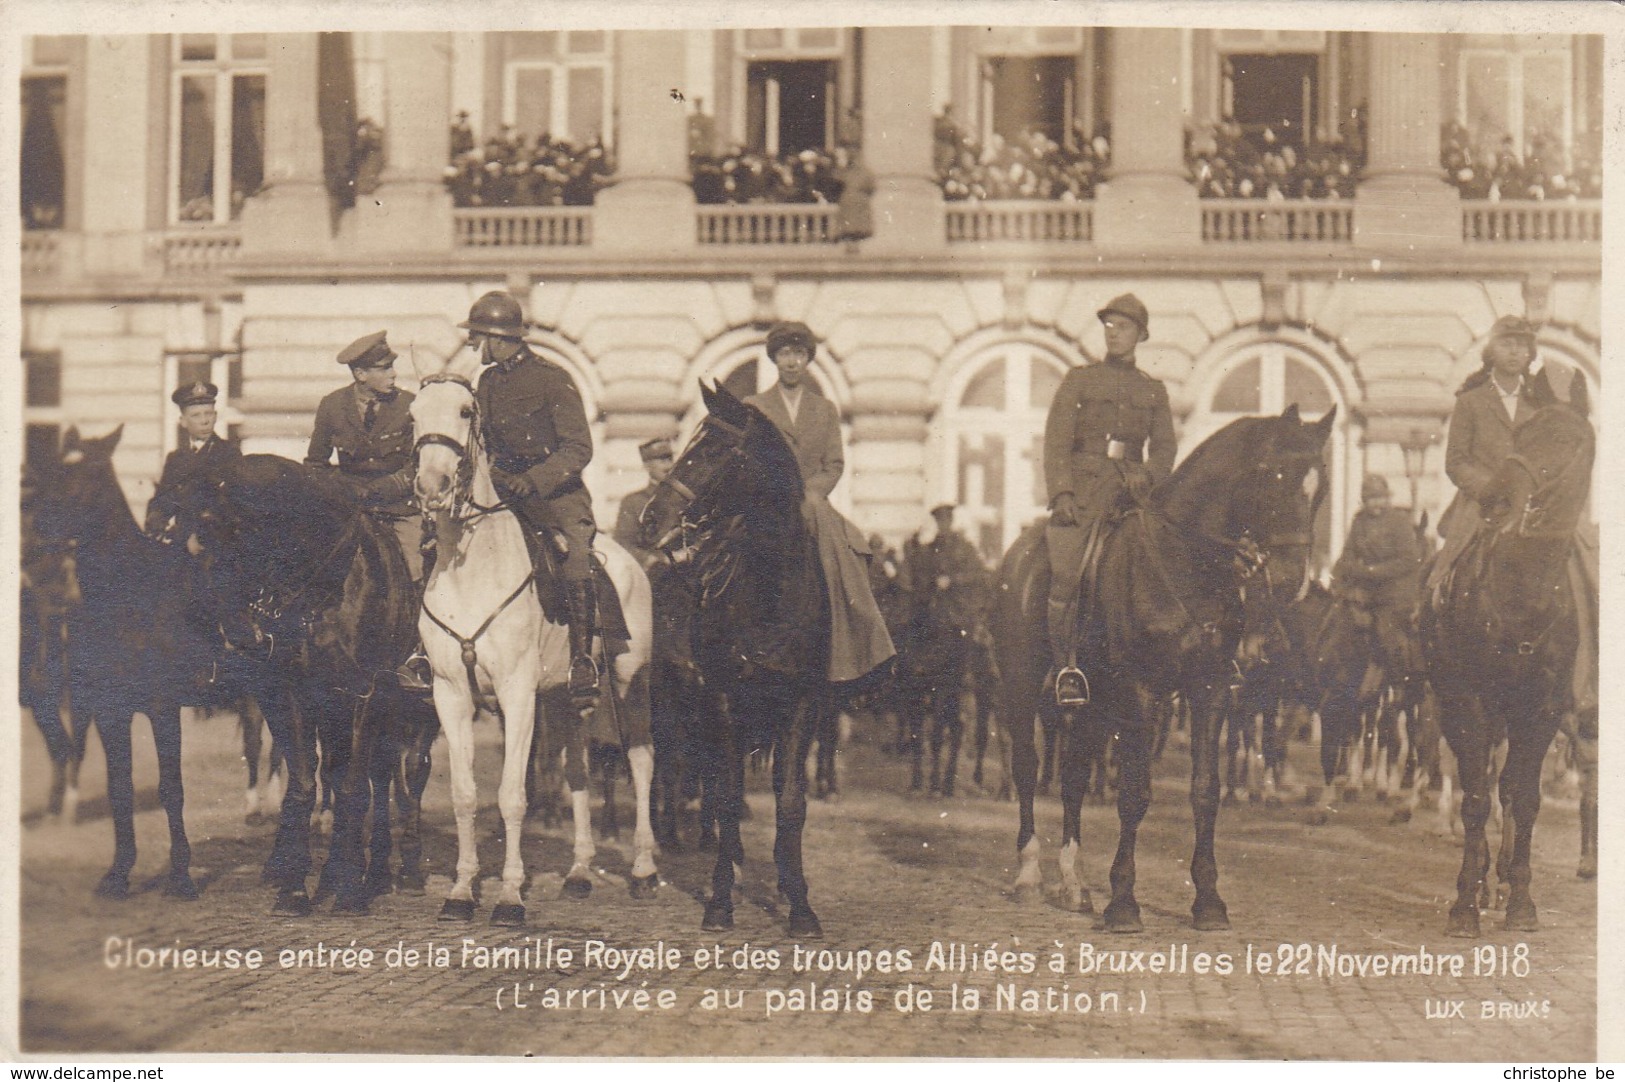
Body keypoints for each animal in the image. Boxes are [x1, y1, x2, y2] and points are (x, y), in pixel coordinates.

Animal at [409, 342, 656, 916]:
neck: (470, 568)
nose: (431, 488)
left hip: (629, 682)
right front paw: (461, 891)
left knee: (641, 758)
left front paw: (509, 896)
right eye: (411, 416)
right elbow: (464, 795)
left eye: (465, 411)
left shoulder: (517, 692)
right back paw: (581, 870)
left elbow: (511, 797)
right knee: (579, 769)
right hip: (567, 695)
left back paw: (643, 868)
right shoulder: (451, 693)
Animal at [633, 381, 845, 935]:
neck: (772, 593)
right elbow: (727, 795)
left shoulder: (802, 706)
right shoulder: (725, 702)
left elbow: (790, 801)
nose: (649, 520)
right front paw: (720, 902)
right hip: (676, 709)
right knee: (676, 770)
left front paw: (799, 905)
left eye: (711, 450)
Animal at [988, 404, 1332, 929]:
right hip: (1023, 686)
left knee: (1072, 777)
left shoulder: (1209, 689)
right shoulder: (1140, 690)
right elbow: (1135, 792)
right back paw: (1029, 873)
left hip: (1089, 702)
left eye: (1322, 486)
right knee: (1027, 766)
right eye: (1270, 474)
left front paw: (1208, 899)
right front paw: (1123, 901)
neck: (1187, 563)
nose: (1292, 580)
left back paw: (1073, 883)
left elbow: (1205, 789)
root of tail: (1018, 555)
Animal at [1430, 381, 1592, 935]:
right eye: (1521, 435)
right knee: (1478, 784)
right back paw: (1480, 881)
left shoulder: (1542, 709)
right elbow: (1475, 798)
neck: (1525, 592)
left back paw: (1497, 882)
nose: (1498, 498)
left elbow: (1524, 798)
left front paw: (1521, 900)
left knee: (1505, 789)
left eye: (1568, 441)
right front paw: (1463, 904)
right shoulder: (1469, 700)